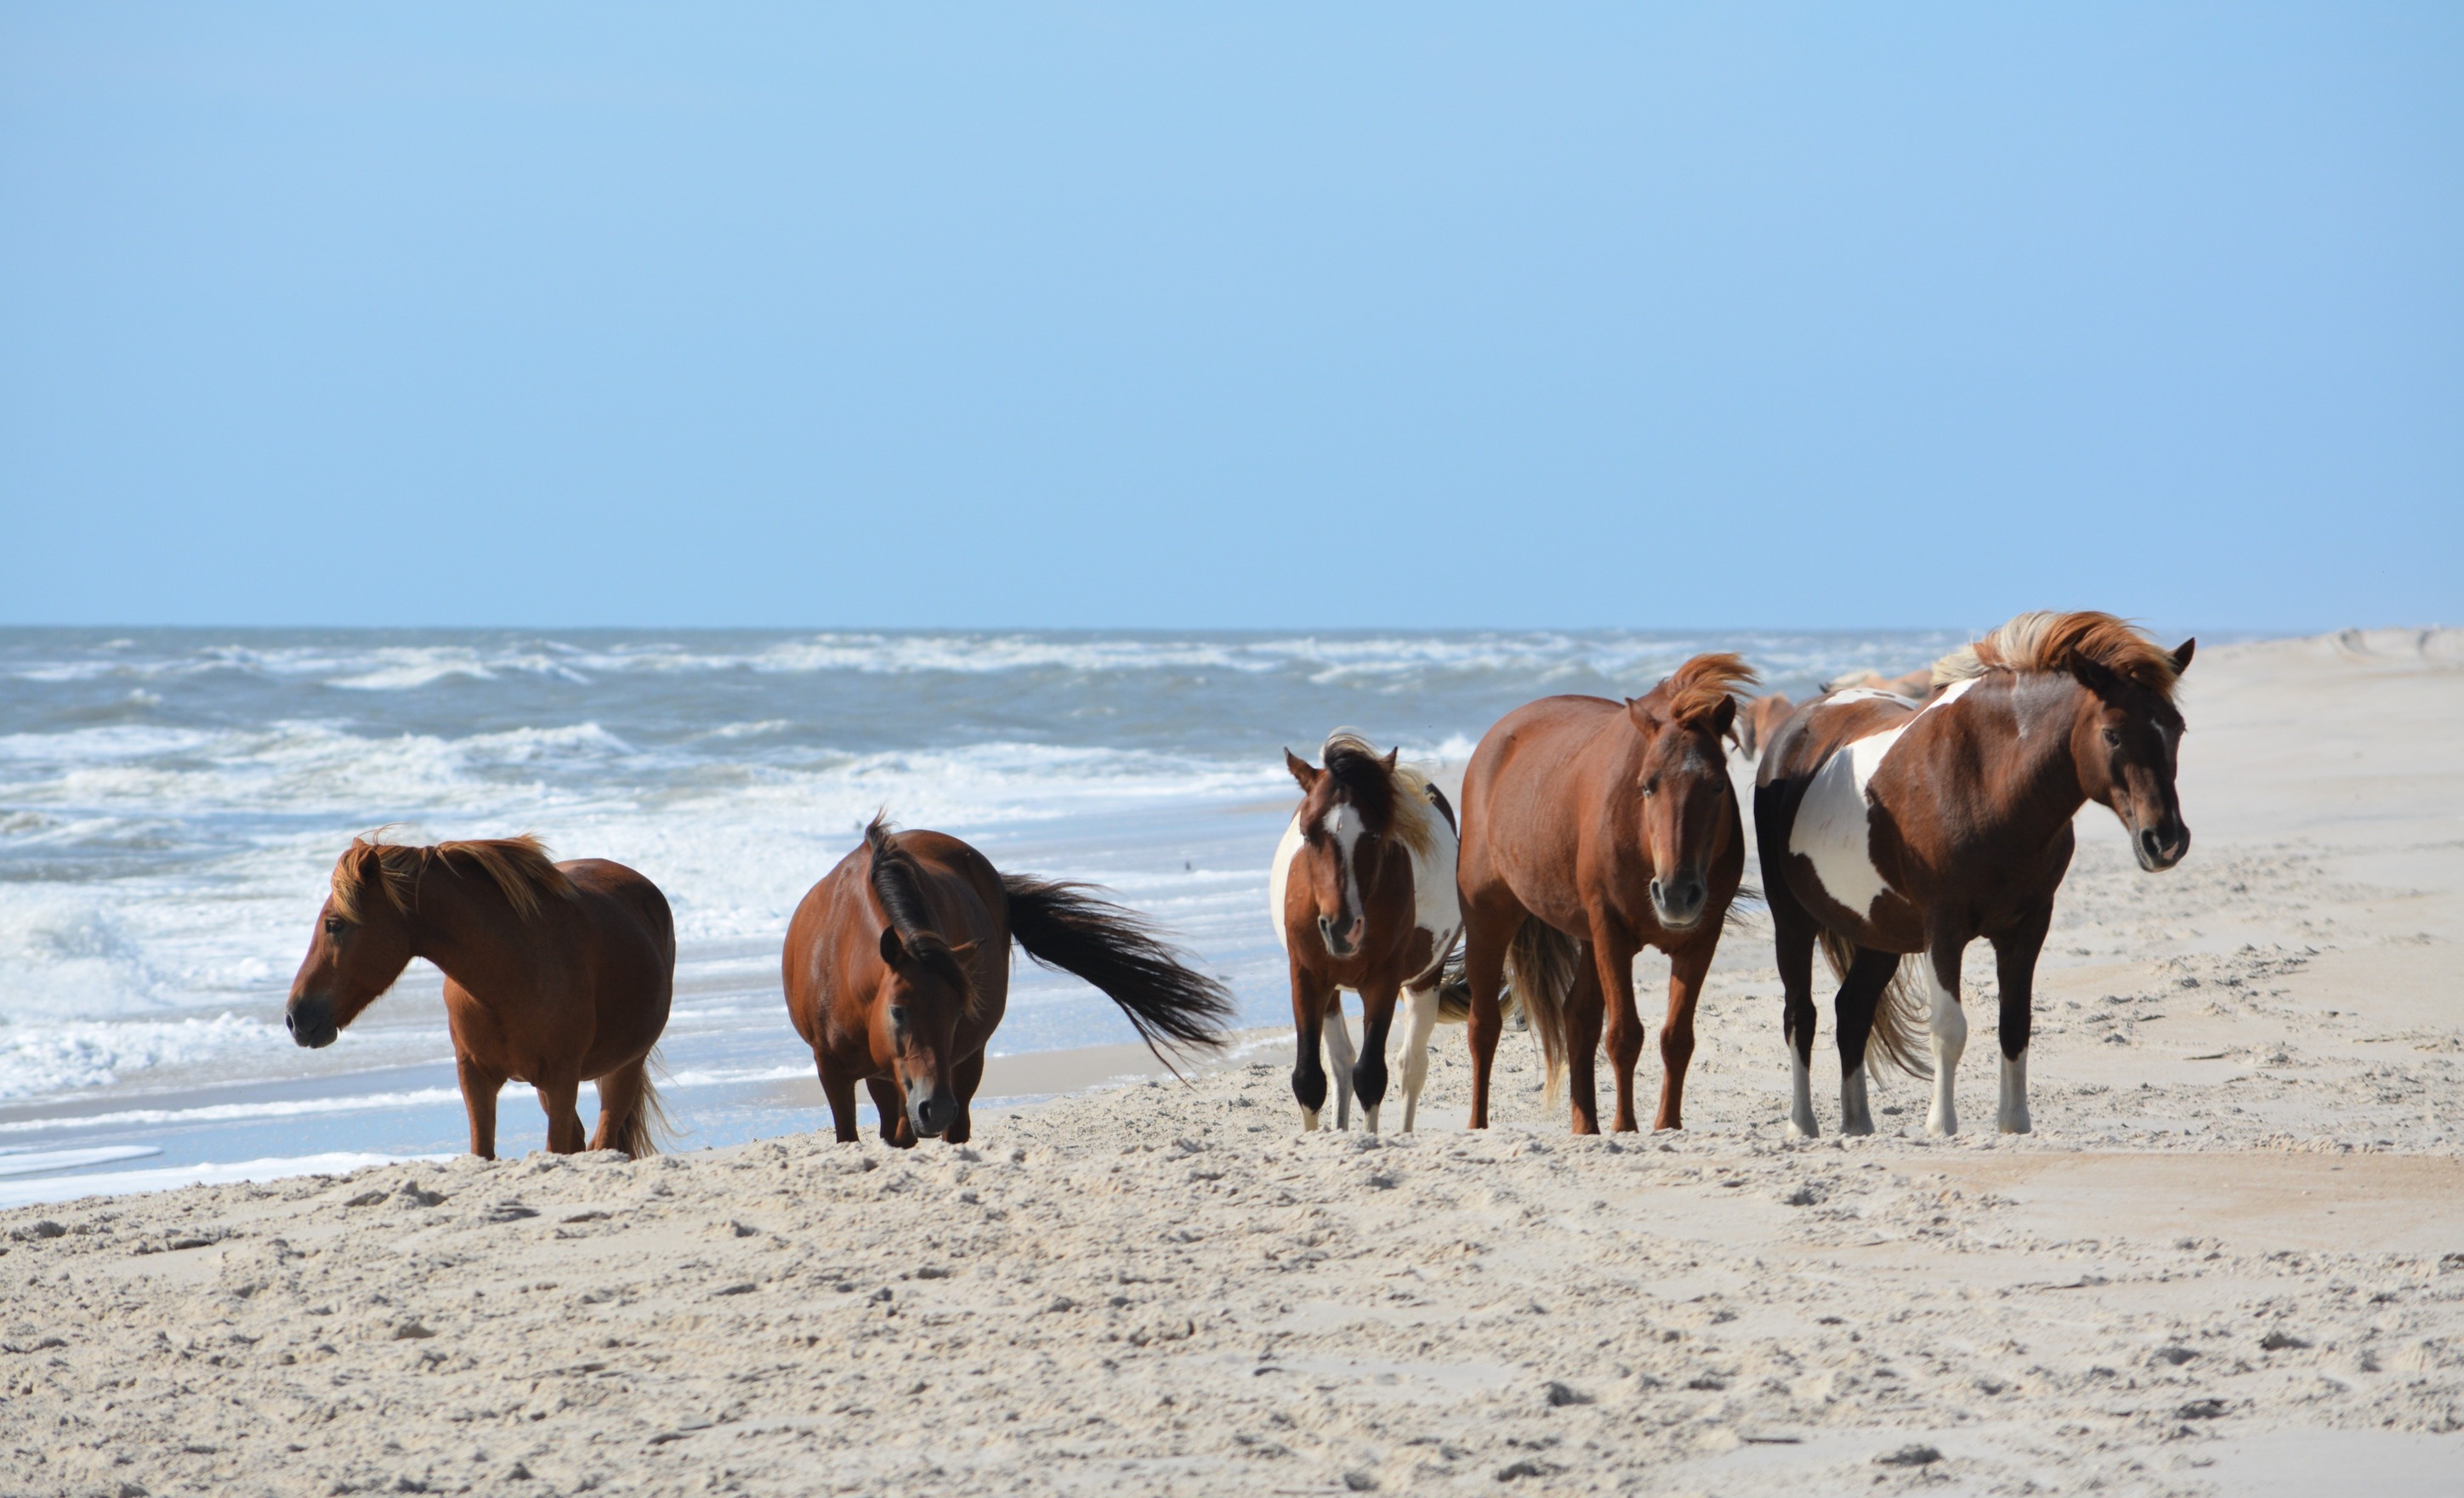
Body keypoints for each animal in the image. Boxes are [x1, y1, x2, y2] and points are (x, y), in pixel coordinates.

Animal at [284, 832, 675, 1158]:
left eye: (334, 924)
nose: (293, 1017)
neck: (507, 978)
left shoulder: (562, 1078)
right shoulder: (475, 1077)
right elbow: (483, 1152)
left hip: (624, 1068)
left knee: (603, 1140)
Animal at [788, 808, 1232, 1148]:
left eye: (956, 1014)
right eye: (897, 1011)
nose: (935, 1109)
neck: (847, 965)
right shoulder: (831, 1070)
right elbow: (849, 1135)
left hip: (966, 1066)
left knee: (952, 1127)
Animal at [1271, 729, 1458, 1128]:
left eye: (1373, 835)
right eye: (1307, 833)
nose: (1341, 929)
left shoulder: (1383, 982)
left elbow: (1371, 1076)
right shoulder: (1306, 976)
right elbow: (1309, 1079)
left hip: (1424, 981)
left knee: (1411, 1065)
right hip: (1331, 991)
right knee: (1341, 1063)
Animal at [1449, 655, 1763, 1133]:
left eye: (1716, 785)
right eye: (1647, 785)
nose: (1676, 895)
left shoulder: (1699, 940)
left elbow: (1676, 1038)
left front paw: (1666, 1124)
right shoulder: (1612, 932)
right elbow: (1624, 1035)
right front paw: (1625, 1126)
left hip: (1585, 937)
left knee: (1576, 1019)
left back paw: (1586, 1128)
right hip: (1489, 921)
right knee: (1483, 1026)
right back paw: (1478, 1126)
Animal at [1754, 608, 2198, 1133]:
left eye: (2177, 729)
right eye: (2112, 733)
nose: (2165, 841)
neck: (1987, 780)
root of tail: (1794, 728)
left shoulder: (2027, 928)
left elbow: (2015, 1025)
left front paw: (2014, 1123)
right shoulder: (1943, 929)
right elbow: (1949, 1030)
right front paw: (1941, 1125)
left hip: (1879, 934)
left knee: (1853, 1010)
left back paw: (1857, 1124)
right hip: (1792, 921)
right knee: (1801, 1015)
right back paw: (1802, 1124)